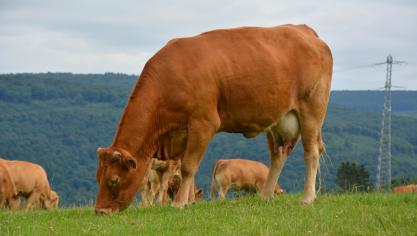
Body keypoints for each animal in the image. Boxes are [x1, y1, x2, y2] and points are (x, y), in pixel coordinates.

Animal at [94, 24, 332, 214]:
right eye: (98, 177)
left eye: (113, 180)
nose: (100, 211)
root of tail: (303, 29)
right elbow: (188, 169)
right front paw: (187, 201)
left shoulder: (203, 123)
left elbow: (189, 166)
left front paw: (179, 203)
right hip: (278, 121)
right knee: (278, 156)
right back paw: (265, 196)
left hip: (312, 110)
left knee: (311, 153)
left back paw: (307, 198)